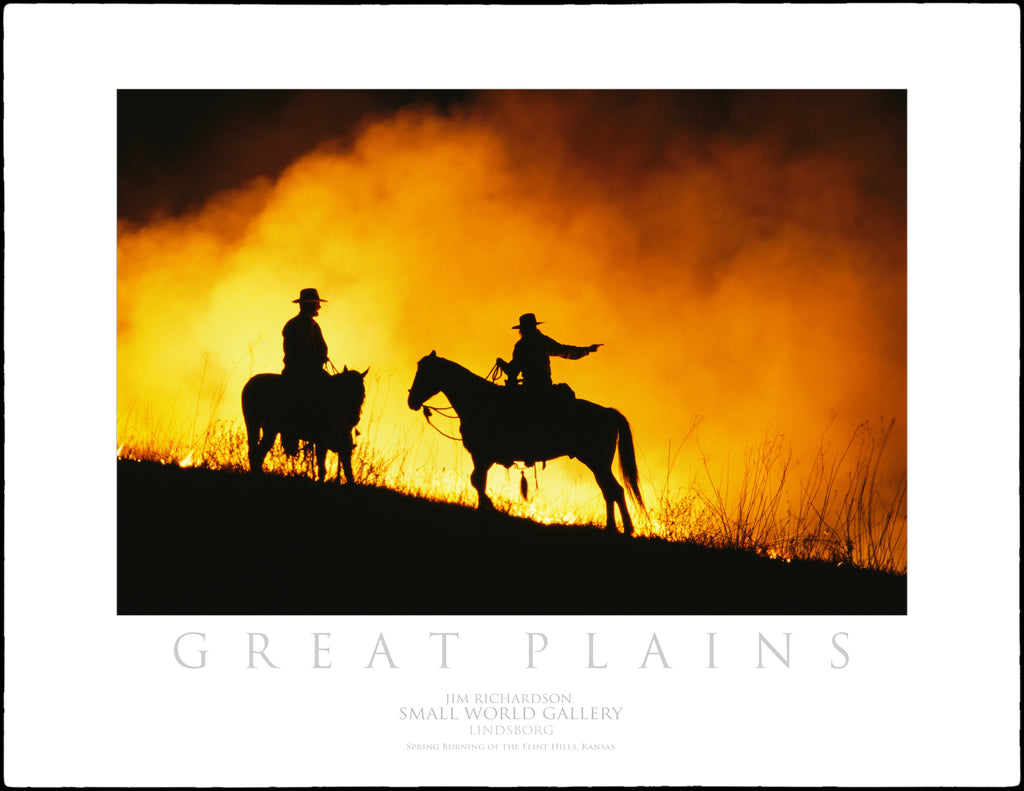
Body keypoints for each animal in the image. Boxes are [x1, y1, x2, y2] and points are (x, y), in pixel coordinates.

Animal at [239, 366, 368, 485]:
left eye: (362, 394)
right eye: (346, 391)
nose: (354, 418)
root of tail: (249, 383)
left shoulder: (345, 446)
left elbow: (348, 472)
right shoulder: (321, 442)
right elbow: (322, 469)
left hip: (270, 430)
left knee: (261, 452)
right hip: (253, 424)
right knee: (253, 451)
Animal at [405, 354, 638, 532]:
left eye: (424, 373)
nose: (411, 401)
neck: (478, 401)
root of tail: (608, 412)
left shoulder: (483, 456)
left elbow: (477, 481)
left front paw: (491, 510)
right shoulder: (481, 457)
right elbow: (479, 482)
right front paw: (484, 510)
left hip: (597, 463)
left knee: (615, 491)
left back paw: (626, 529)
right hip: (598, 465)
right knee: (610, 491)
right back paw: (613, 528)